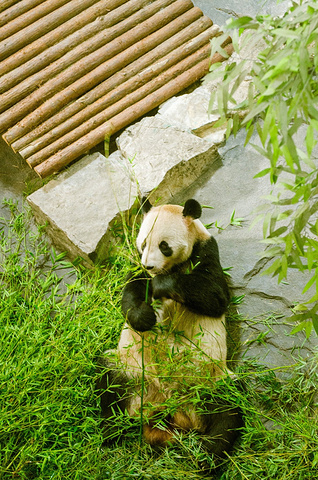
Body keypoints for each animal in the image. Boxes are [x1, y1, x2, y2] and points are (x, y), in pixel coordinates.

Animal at [98, 197, 242, 464]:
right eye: (143, 243)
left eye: (164, 246)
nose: (149, 265)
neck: (169, 268)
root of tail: (169, 413)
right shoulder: (136, 266)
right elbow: (129, 296)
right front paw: (145, 316)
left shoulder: (206, 251)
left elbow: (215, 295)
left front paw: (160, 286)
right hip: (132, 368)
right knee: (109, 378)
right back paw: (110, 431)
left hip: (209, 381)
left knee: (228, 408)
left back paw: (206, 456)